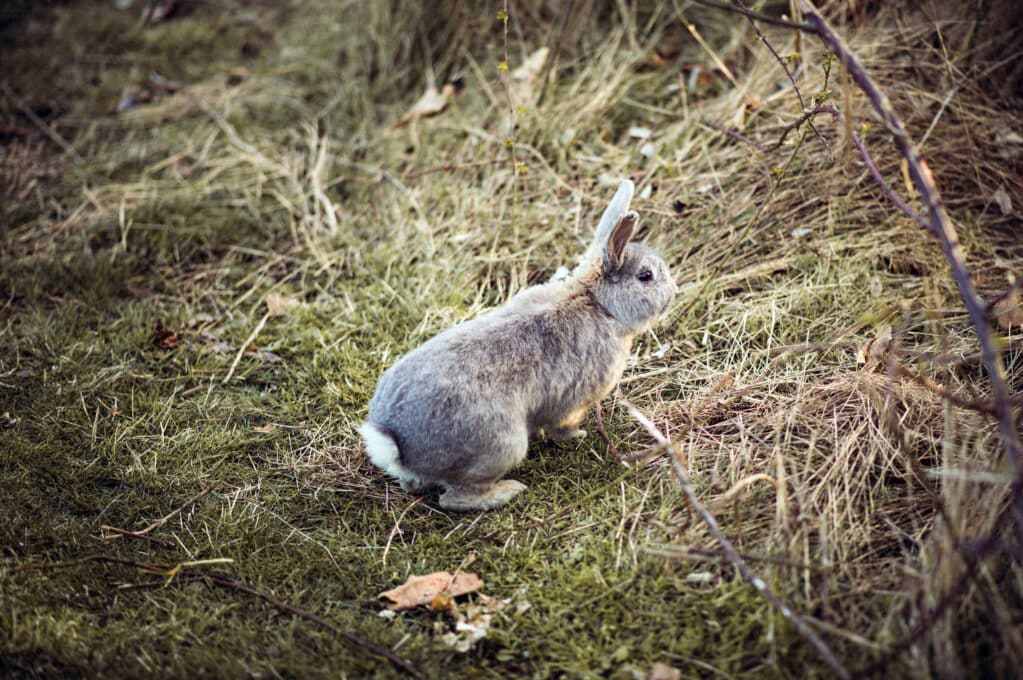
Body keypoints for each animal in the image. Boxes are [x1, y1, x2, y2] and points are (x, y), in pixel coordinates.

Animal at [360, 180, 675, 511]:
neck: (597, 302)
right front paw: (578, 435)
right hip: (501, 447)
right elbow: (562, 427)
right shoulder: (574, 402)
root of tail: (397, 443)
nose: (673, 293)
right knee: (455, 498)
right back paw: (507, 491)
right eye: (646, 276)